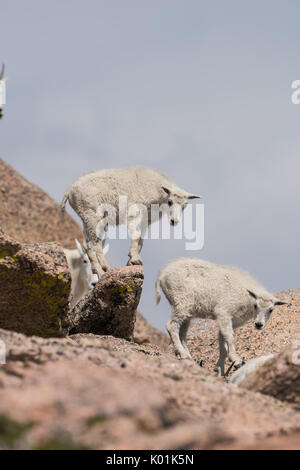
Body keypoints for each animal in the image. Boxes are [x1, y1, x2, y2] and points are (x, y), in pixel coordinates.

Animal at [60, 167, 202, 276]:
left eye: (185, 205)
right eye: (170, 201)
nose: (174, 221)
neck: (157, 192)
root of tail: (69, 191)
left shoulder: (145, 220)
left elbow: (140, 241)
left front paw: (131, 260)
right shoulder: (135, 212)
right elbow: (136, 235)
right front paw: (135, 260)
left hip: (91, 218)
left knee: (91, 243)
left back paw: (102, 270)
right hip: (91, 215)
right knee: (92, 243)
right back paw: (103, 270)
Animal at [156, 258, 288, 374]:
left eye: (271, 310)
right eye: (255, 305)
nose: (259, 324)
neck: (247, 296)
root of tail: (162, 274)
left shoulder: (231, 321)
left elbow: (223, 343)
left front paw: (220, 370)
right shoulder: (224, 312)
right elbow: (230, 337)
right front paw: (236, 360)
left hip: (186, 311)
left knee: (182, 332)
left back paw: (187, 356)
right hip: (182, 302)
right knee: (171, 326)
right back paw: (183, 354)